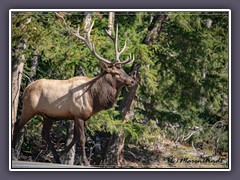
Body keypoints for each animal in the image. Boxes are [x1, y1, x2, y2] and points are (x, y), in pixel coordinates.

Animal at [12, 13, 136, 166]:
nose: (132, 80)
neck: (93, 98)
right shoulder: (78, 114)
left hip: (48, 115)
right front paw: (85, 161)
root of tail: (27, 88)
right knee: (17, 124)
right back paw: (13, 153)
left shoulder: (82, 116)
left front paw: (62, 153)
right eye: (116, 73)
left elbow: (75, 138)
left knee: (45, 134)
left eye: (123, 70)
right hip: (29, 108)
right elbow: (81, 138)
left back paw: (56, 157)